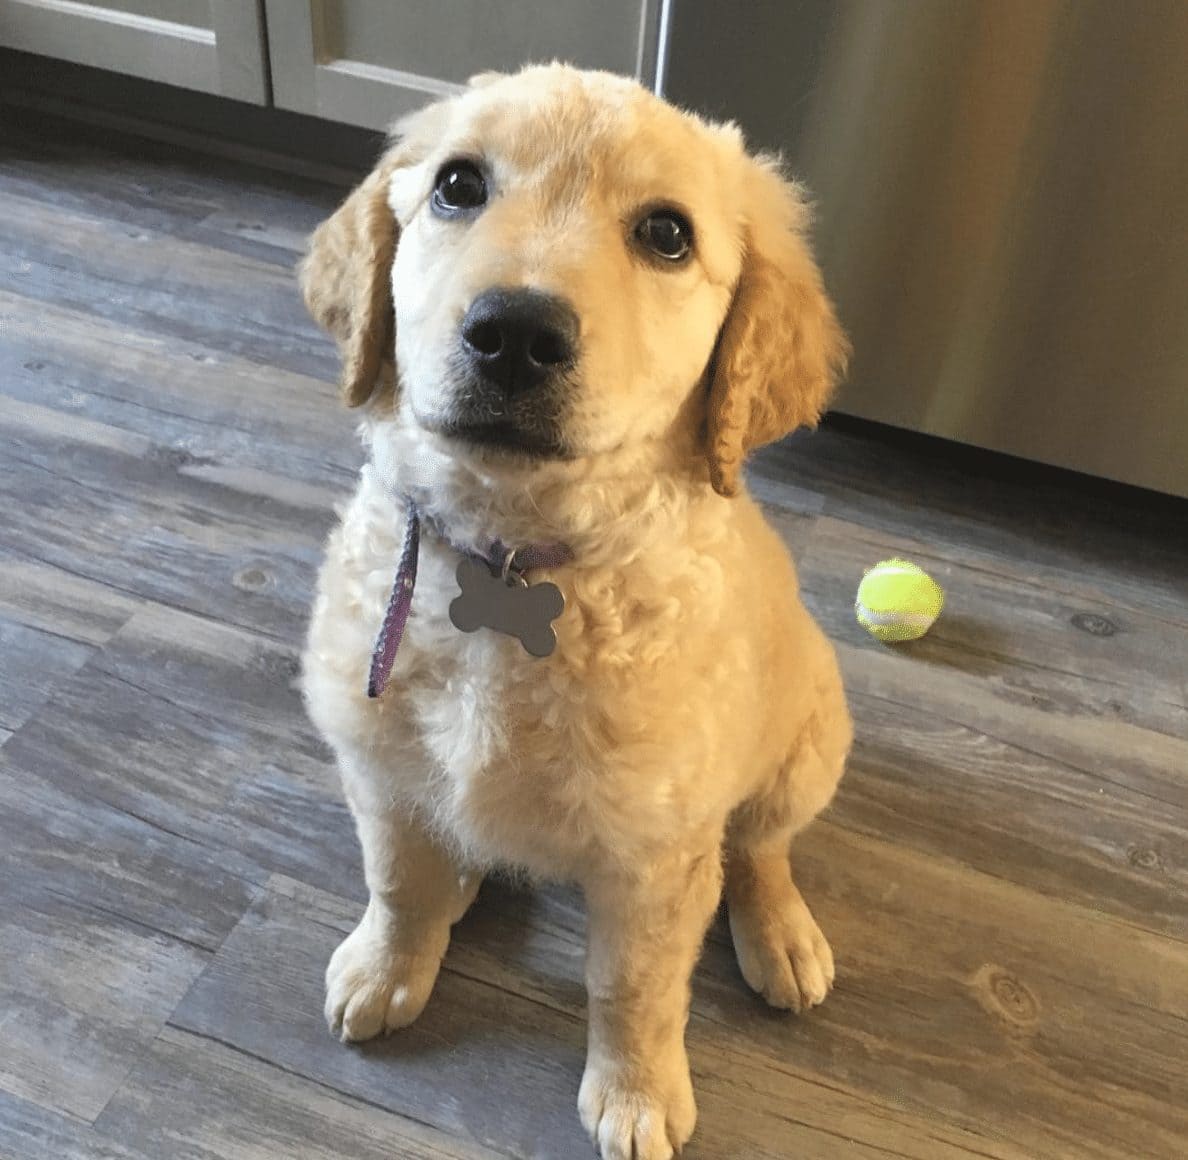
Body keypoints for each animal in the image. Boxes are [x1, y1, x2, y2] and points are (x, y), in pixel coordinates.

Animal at [301, 65, 850, 1160]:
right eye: (457, 185)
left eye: (668, 235)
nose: (514, 332)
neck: (511, 560)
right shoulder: (378, 766)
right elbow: (397, 880)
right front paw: (388, 964)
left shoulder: (656, 857)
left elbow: (631, 986)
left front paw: (636, 1092)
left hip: (809, 738)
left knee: (761, 847)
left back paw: (781, 932)